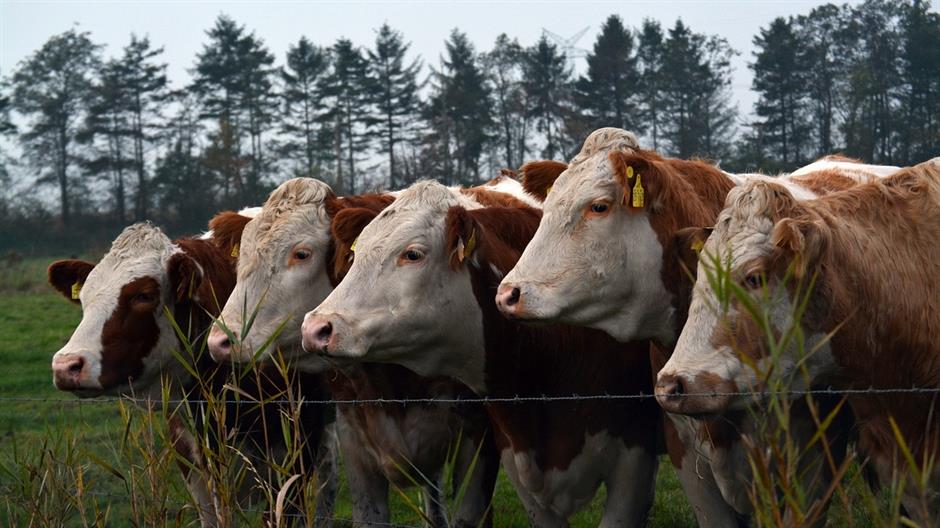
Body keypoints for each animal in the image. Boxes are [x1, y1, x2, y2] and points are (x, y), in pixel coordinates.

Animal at [205, 177, 555, 527]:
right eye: (242, 256)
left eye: (301, 253)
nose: (221, 340)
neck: (393, 376)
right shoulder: (353, 438)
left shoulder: (477, 438)